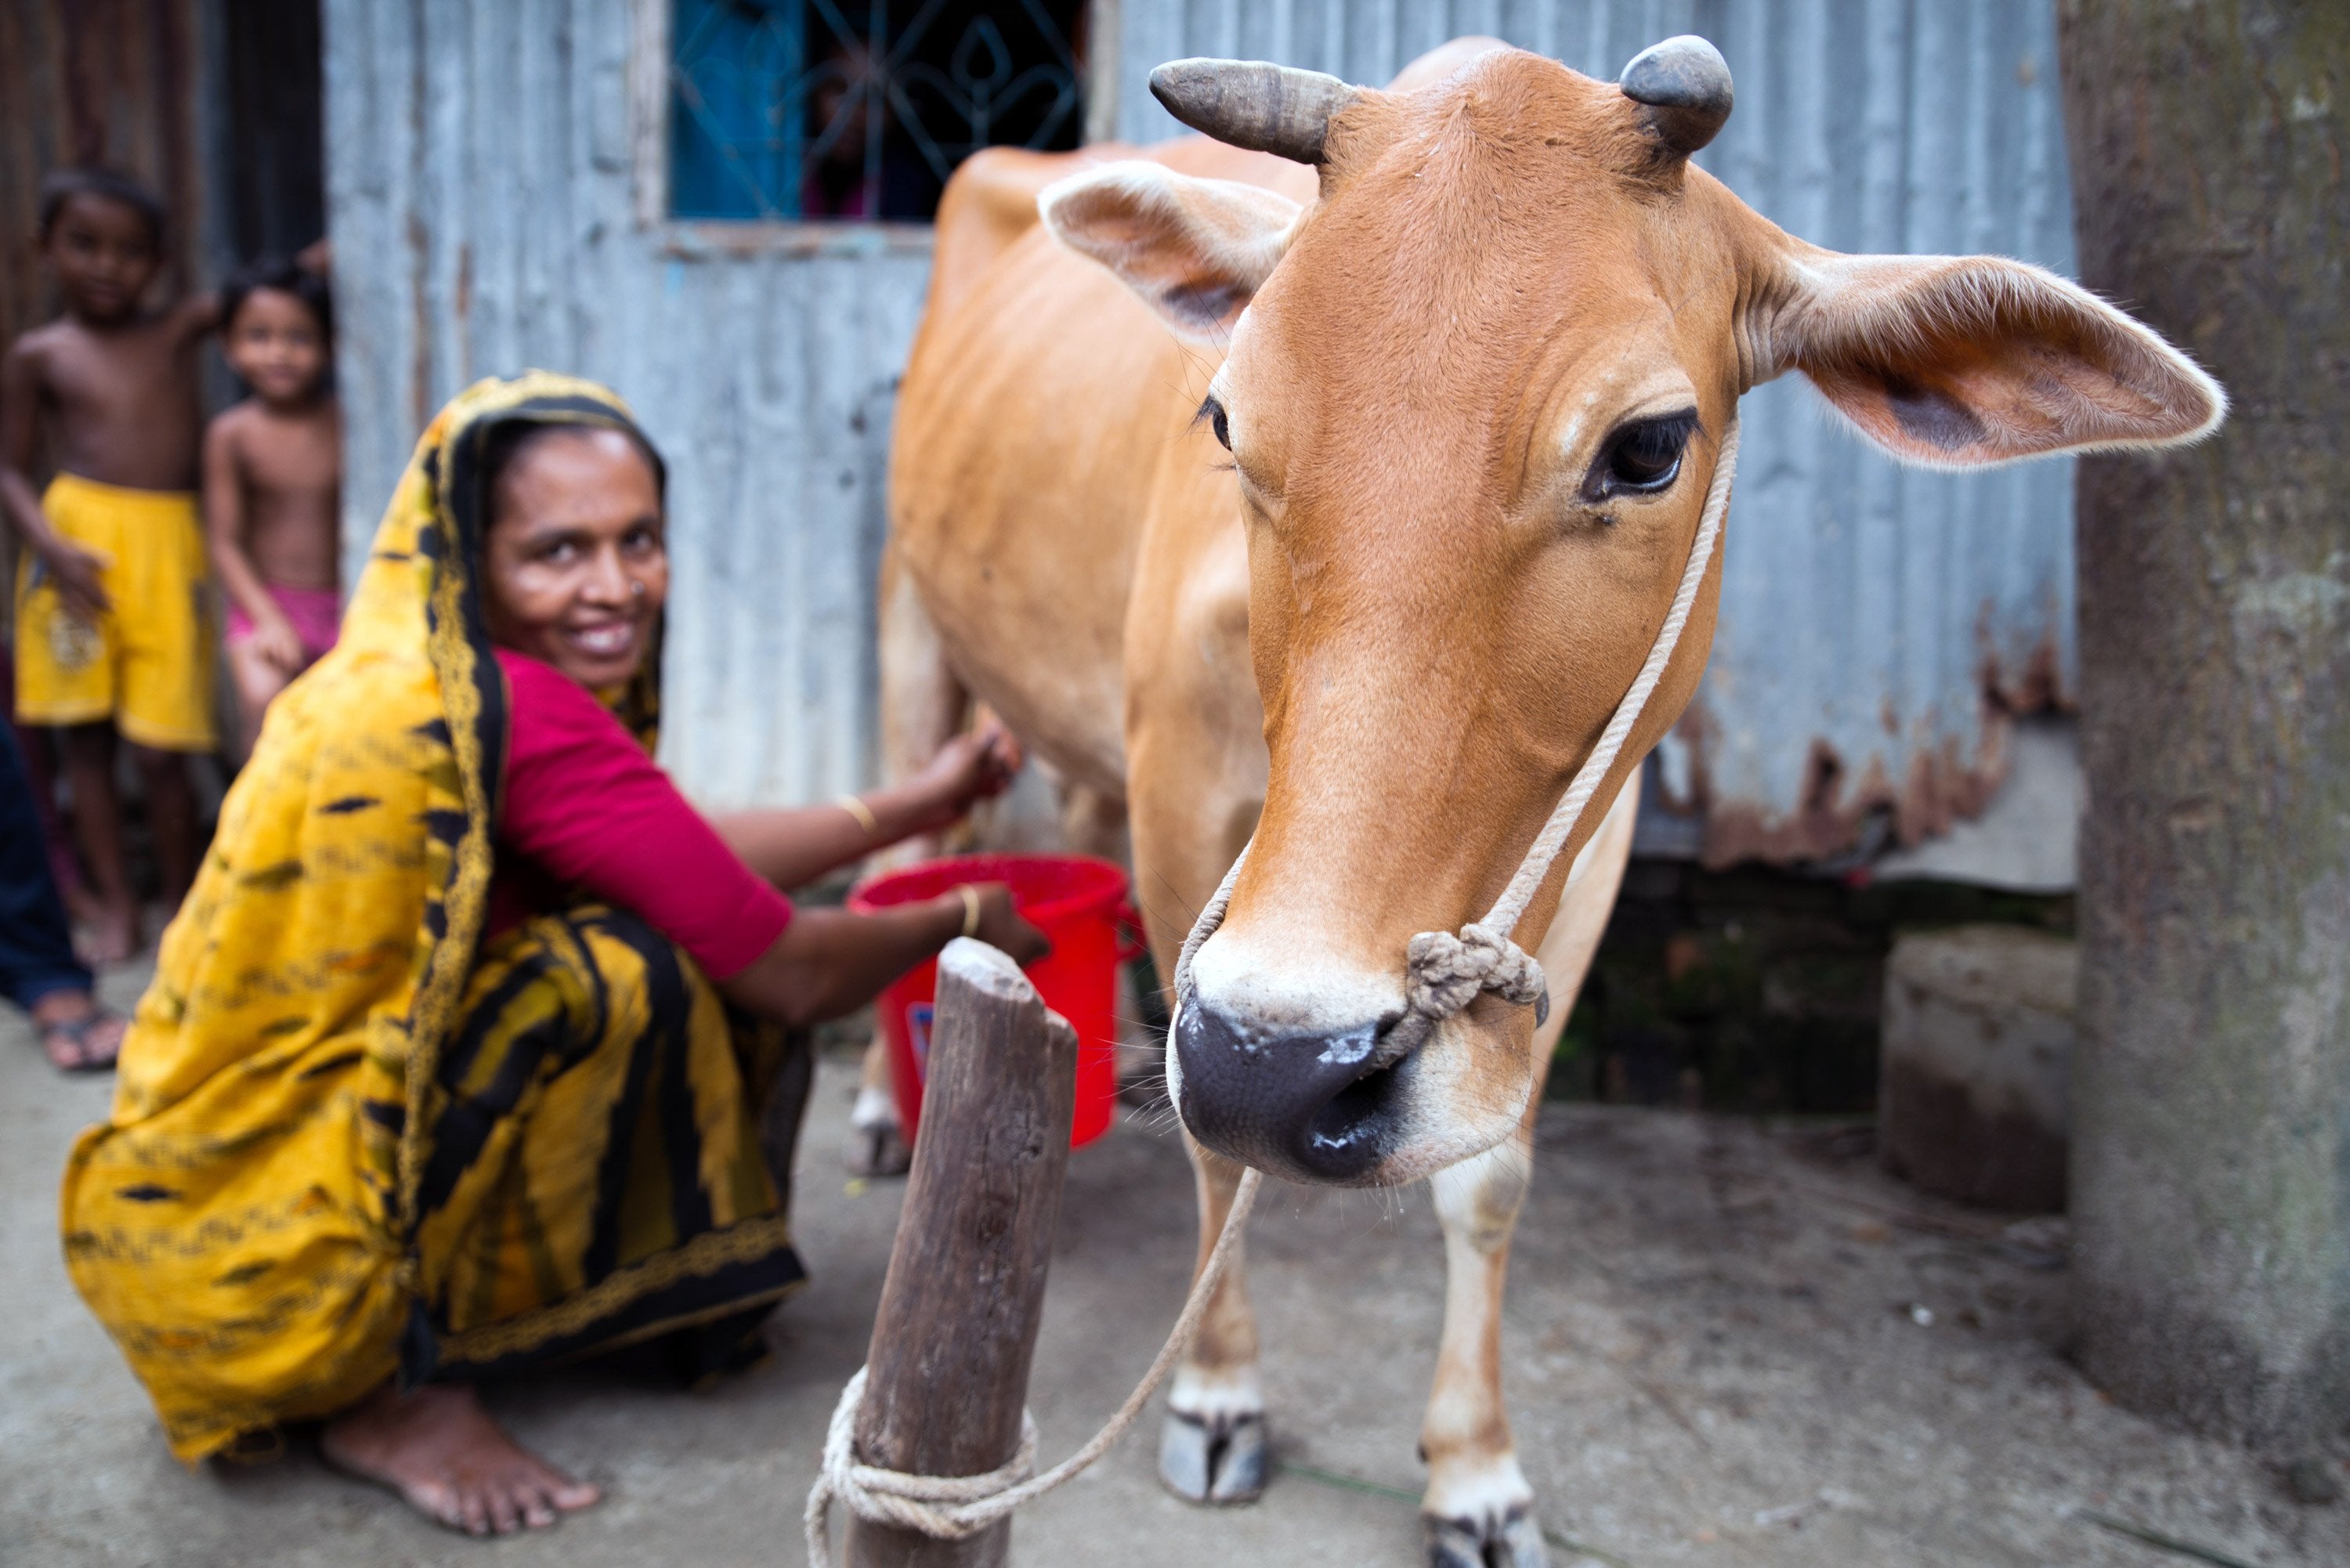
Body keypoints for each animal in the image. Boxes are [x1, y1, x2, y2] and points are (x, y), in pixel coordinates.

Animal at [876, 37, 2222, 1567]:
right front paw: (1217, 1391)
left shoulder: (1590, 848)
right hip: (913, 628)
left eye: (1646, 448)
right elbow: (1215, 1146)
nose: (1291, 1066)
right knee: (916, 827)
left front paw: (1475, 1470)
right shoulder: (1185, 815)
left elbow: (1492, 1176)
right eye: (1227, 416)